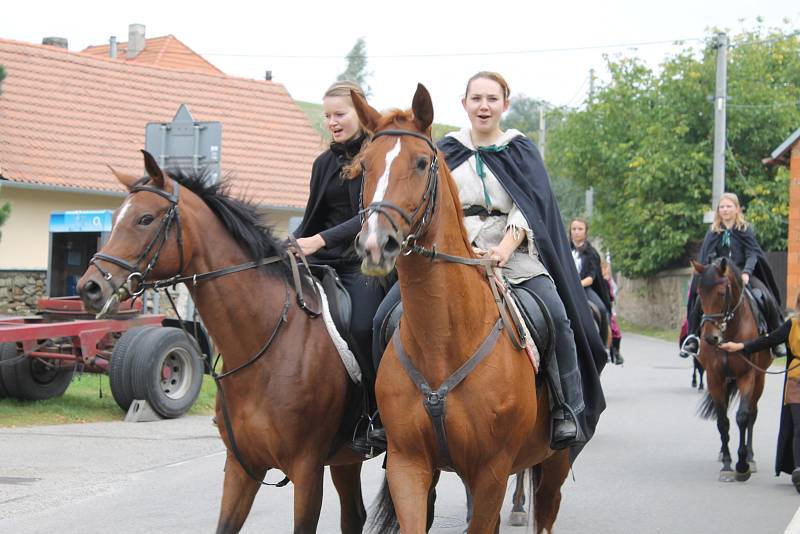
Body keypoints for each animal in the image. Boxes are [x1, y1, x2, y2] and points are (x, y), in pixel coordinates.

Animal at [76, 152, 372, 534]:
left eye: (145, 219)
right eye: (113, 219)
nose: (90, 288)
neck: (266, 343)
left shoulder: (307, 472)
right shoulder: (240, 467)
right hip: (346, 459)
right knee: (354, 515)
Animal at [350, 86, 568, 532]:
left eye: (420, 162)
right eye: (364, 165)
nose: (376, 245)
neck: (444, 341)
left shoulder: (491, 472)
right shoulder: (409, 466)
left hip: (556, 463)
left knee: (546, 510)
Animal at [692, 258, 772, 484]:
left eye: (721, 293)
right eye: (700, 293)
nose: (710, 338)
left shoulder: (748, 376)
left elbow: (743, 417)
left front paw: (742, 464)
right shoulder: (715, 378)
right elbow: (722, 422)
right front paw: (727, 464)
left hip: (760, 379)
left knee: (753, 413)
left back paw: (751, 458)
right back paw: (722, 452)